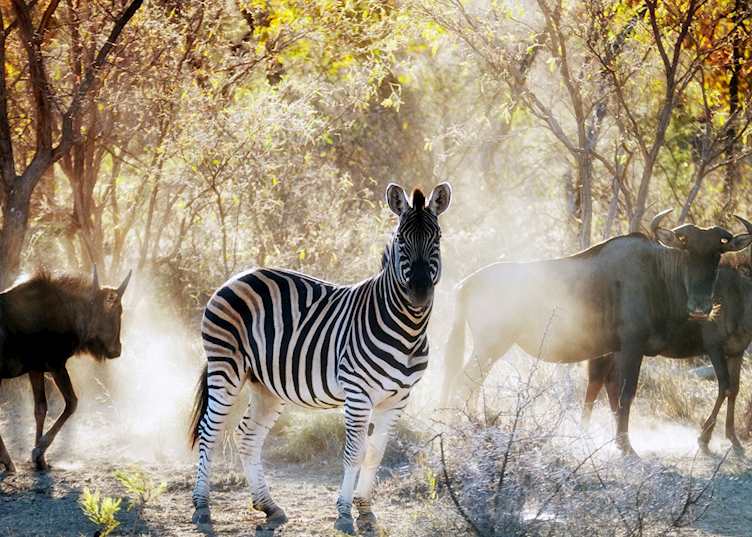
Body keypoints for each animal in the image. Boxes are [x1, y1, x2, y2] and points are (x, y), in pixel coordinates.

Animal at [189, 182, 452, 534]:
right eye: (400, 239)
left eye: (437, 238)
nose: (420, 292)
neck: (407, 329)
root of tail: (238, 276)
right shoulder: (358, 394)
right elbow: (354, 453)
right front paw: (344, 514)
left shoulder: (398, 399)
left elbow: (375, 454)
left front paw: (366, 512)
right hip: (225, 366)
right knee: (210, 430)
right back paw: (202, 507)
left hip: (265, 385)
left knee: (248, 435)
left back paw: (269, 507)